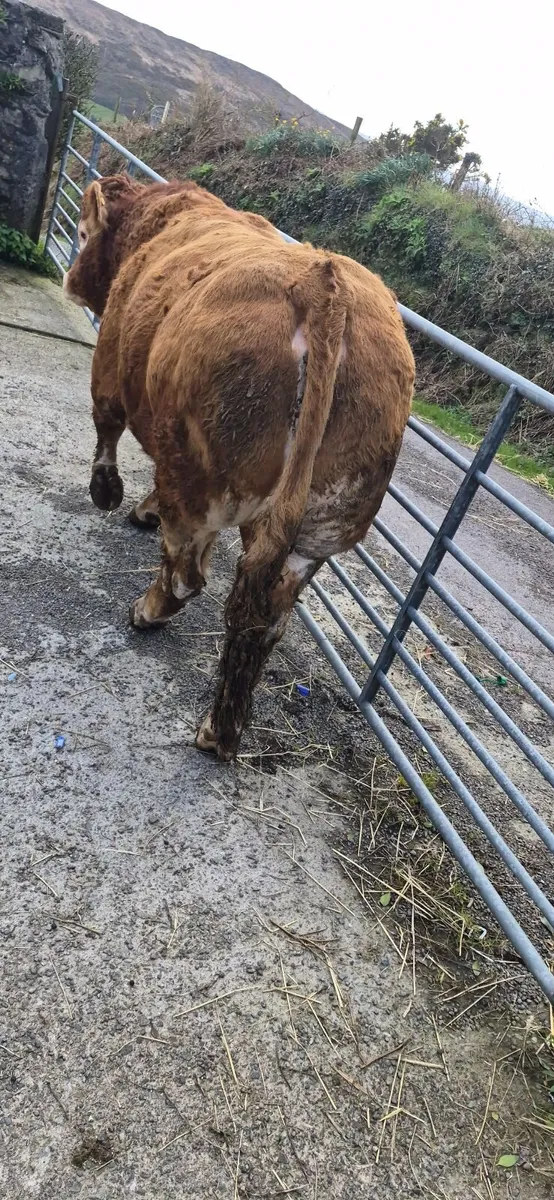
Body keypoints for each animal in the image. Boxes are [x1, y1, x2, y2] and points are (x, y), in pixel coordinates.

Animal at [63, 174, 415, 760]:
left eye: (85, 232)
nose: (70, 279)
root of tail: (327, 288)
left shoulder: (109, 358)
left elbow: (106, 423)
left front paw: (108, 492)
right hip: (322, 528)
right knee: (266, 621)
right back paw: (221, 730)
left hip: (198, 483)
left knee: (187, 576)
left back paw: (147, 611)